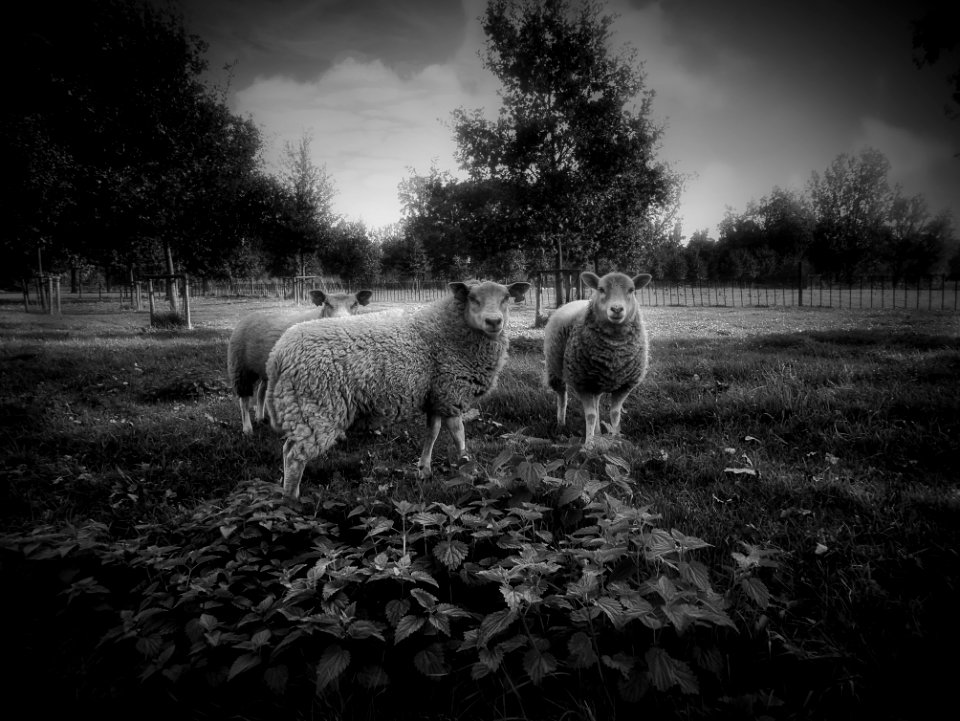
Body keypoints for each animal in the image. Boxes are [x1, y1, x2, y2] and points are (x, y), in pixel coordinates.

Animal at [227, 286, 374, 434]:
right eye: (327, 303)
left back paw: (260, 417)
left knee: (261, 391)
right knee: (244, 400)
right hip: (240, 367)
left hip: (264, 367)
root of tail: (248, 316)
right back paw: (247, 428)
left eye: (355, 304)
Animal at [266, 278, 528, 498]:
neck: (447, 329)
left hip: (302, 408)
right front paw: (469, 468)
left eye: (506, 297)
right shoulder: (451, 393)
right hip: (316, 408)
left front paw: (424, 469)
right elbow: (458, 433)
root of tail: (278, 354)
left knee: (288, 450)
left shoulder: (436, 395)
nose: (494, 321)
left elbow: (432, 432)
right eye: (473, 298)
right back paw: (291, 500)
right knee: (295, 456)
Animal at [540, 270, 652, 442]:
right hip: (555, 370)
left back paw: (598, 432)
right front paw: (589, 443)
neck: (614, 350)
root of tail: (573, 301)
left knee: (597, 402)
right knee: (562, 397)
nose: (617, 309)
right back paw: (561, 424)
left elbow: (615, 413)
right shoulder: (582, 383)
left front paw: (616, 439)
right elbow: (590, 415)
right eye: (601, 289)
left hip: (596, 381)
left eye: (631, 290)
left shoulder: (625, 385)